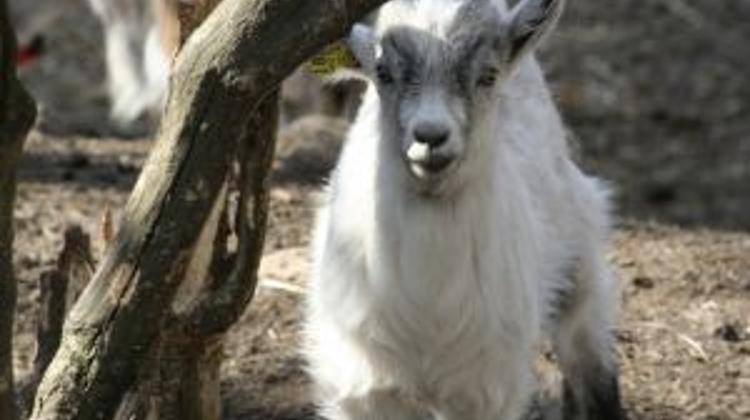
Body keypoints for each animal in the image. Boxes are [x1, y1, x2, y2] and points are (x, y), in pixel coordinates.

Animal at [304, 0, 626, 419]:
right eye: (383, 73)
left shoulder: (484, 388)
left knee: (589, 354)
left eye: (487, 75)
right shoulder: (365, 386)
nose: (430, 136)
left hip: (579, 244)